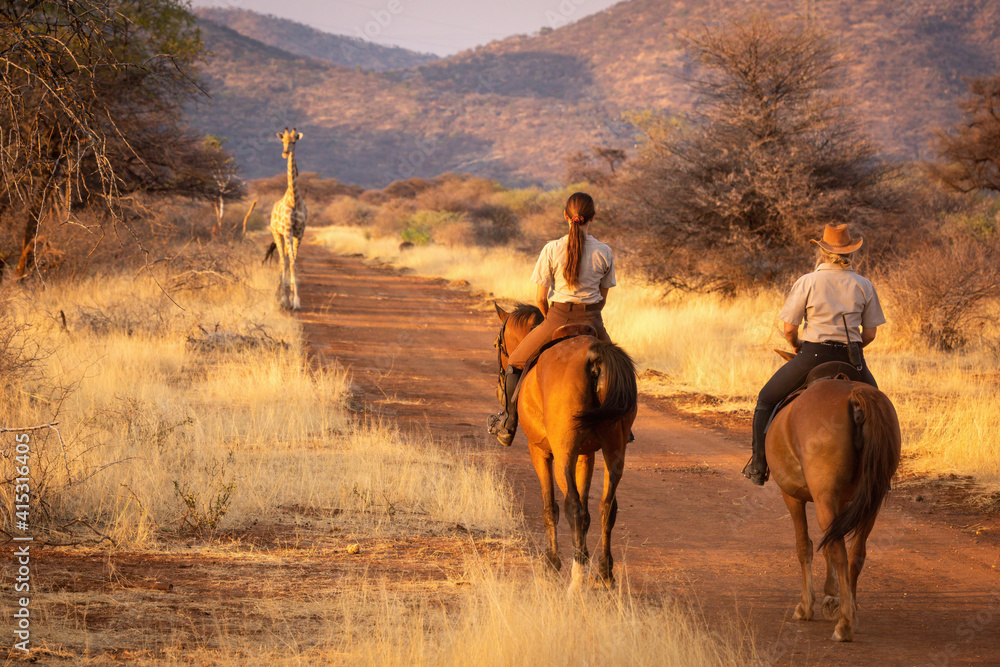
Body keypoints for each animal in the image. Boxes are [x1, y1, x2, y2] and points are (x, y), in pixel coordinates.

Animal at [494, 302, 640, 588]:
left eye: (497, 343)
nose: (498, 387)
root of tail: (594, 358)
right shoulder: (586, 456)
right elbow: (588, 511)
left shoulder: (540, 451)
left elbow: (550, 507)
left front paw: (551, 563)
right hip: (615, 449)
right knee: (606, 507)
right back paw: (604, 573)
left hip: (563, 454)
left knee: (573, 506)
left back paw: (577, 578)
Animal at [768, 350, 904, 640]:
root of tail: (854, 395)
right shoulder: (841, 502)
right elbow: (827, 545)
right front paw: (832, 598)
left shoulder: (793, 497)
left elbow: (805, 546)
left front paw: (807, 606)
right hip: (870, 500)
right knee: (855, 552)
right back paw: (849, 610)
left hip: (823, 499)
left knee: (839, 550)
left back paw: (844, 625)